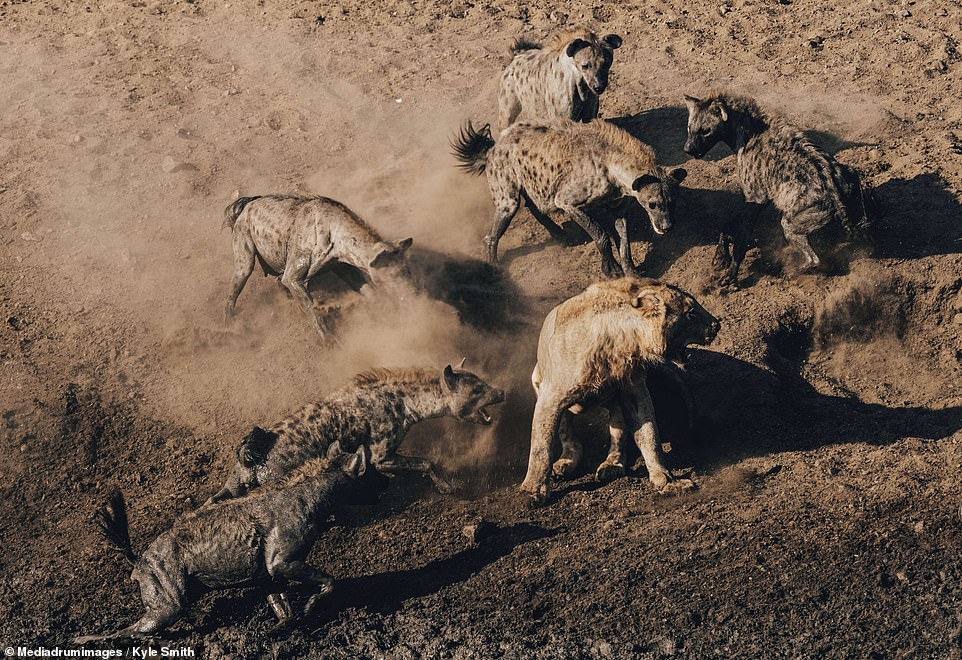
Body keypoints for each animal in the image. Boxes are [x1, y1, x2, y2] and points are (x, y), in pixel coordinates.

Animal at [520, 277, 720, 502]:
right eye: (691, 312)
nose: (717, 324)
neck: (619, 342)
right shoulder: (550, 397)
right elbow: (541, 446)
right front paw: (533, 490)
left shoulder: (634, 390)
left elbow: (649, 436)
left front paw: (667, 481)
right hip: (539, 380)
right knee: (568, 433)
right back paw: (566, 462)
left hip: (615, 401)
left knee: (618, 430)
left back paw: (612, 465)